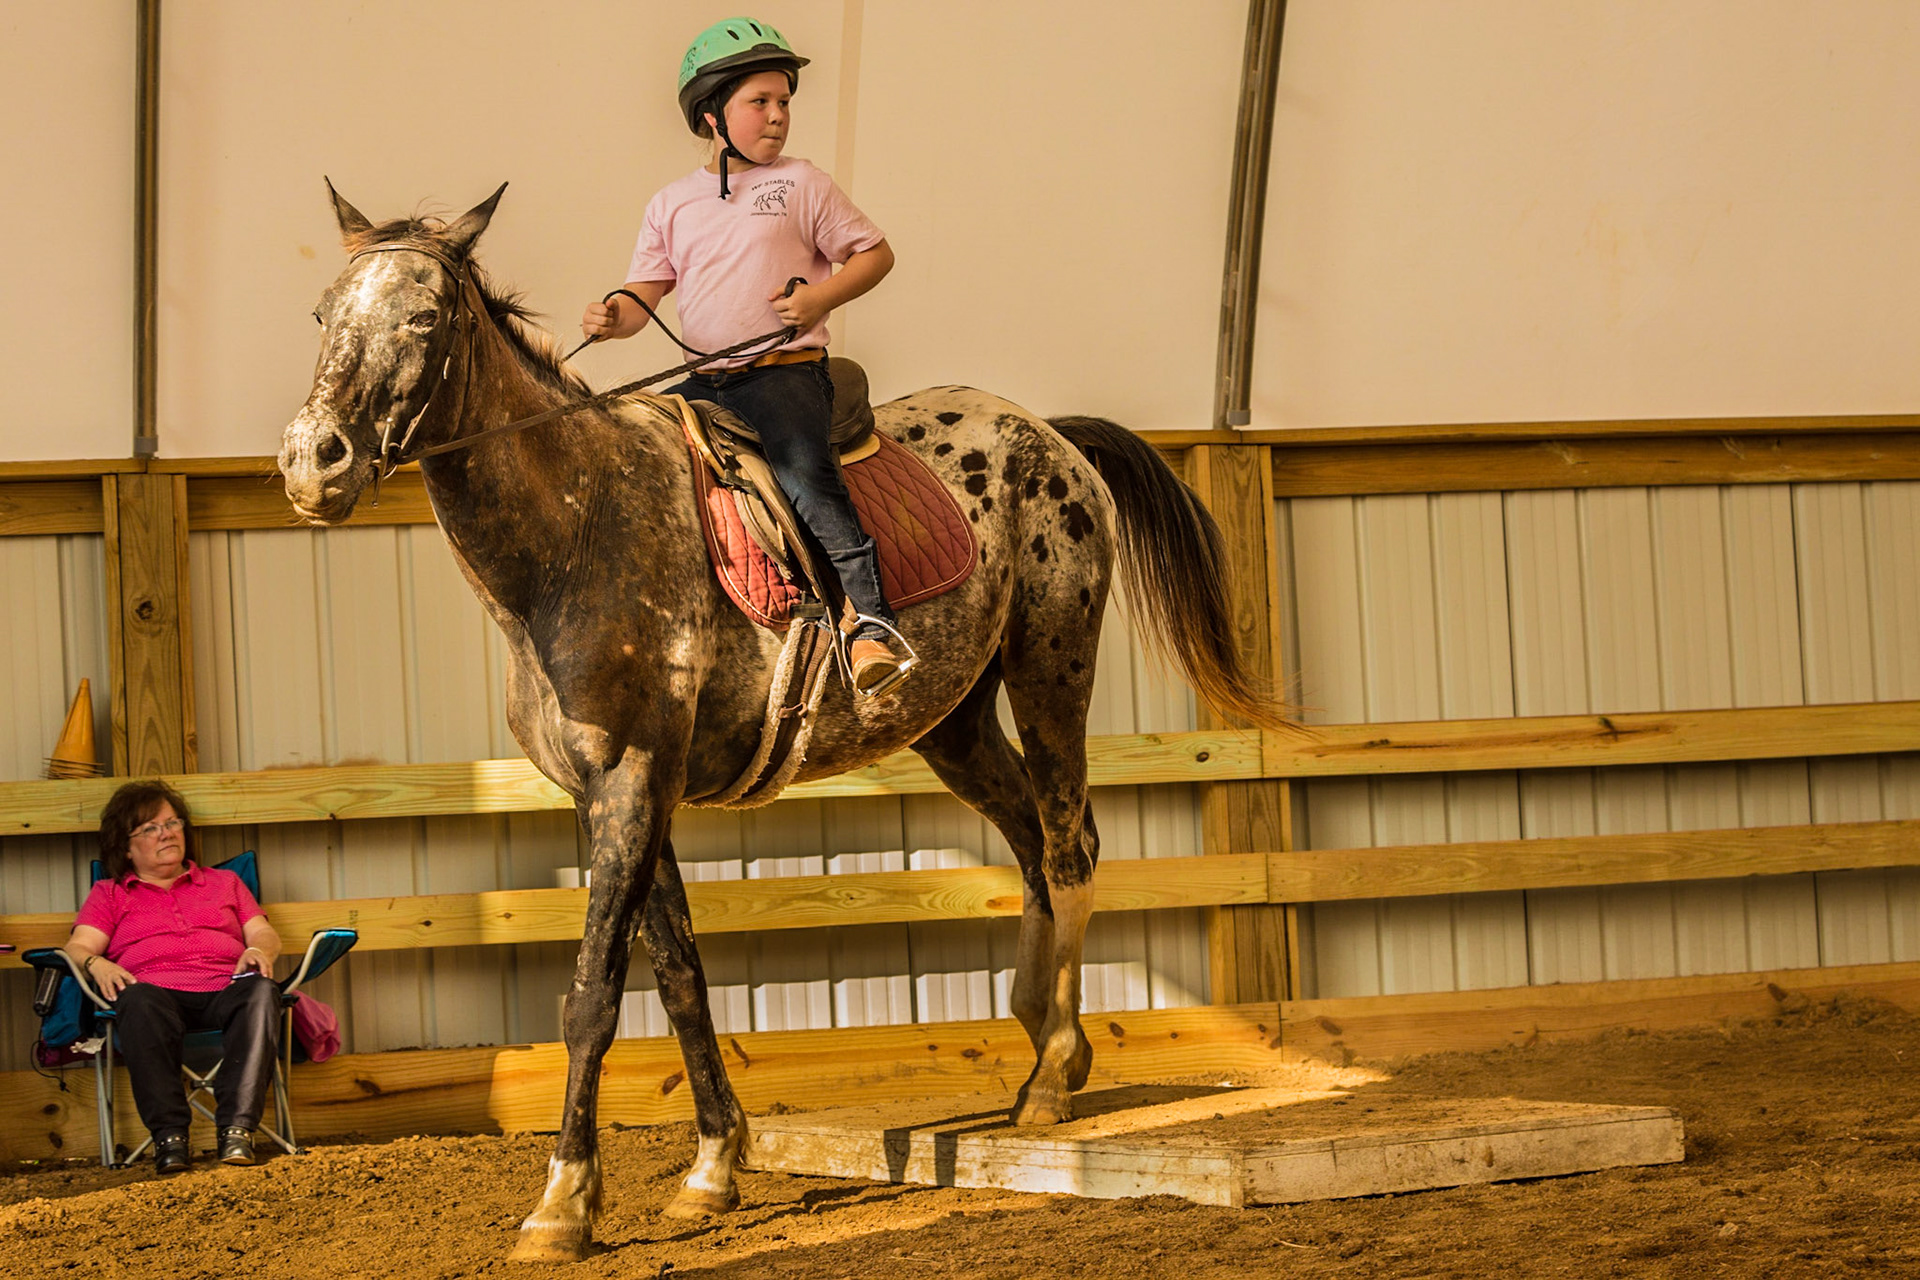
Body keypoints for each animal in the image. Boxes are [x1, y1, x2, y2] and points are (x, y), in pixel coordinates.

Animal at [278, 184, 1280, 1263]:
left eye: (425, 317)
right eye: (323, 314)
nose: (313, 461)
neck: (574, 532)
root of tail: (1044, 434)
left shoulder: (632, 780)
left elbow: (593, 993)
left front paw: (564, 1202)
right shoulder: (624, 792)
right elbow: (679, 977)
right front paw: (713, 1166)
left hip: (1052, 668)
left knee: (1067, 847)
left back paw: (1052, 1072)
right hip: (955, 725)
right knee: (1028, 843)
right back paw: (1048, 1037)